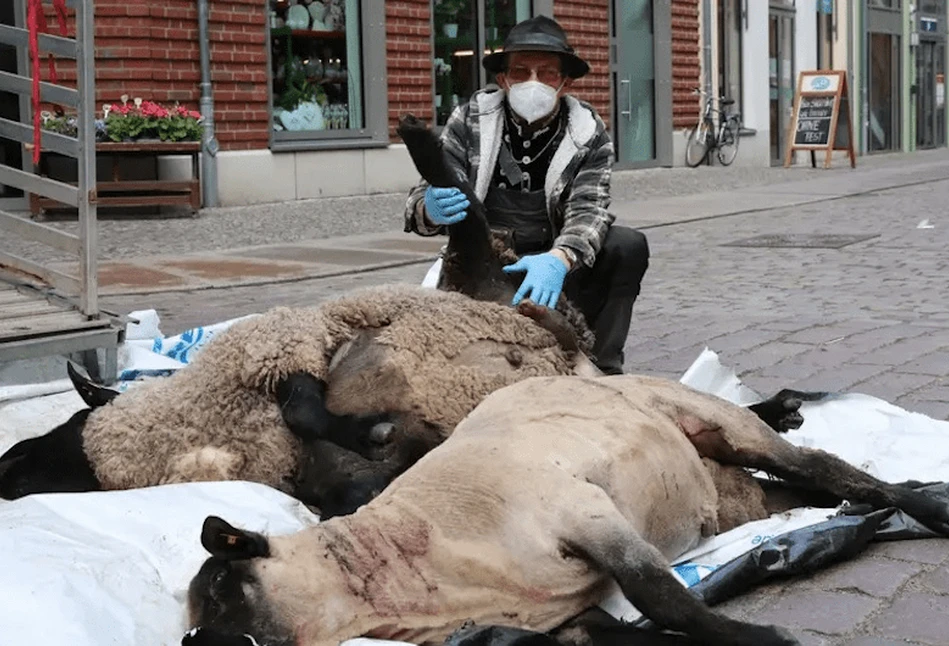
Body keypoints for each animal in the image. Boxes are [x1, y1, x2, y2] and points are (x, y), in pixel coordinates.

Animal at [183, 374, 948, 646]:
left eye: (221, 589)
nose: (192, 644)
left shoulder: (586, 516)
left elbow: (665, 601)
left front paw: (763, 640)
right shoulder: (569, 622)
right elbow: (639, 631)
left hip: (721, 426)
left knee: (827, 467)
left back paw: (925, 506)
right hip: (738, 495)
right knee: (809, 490)